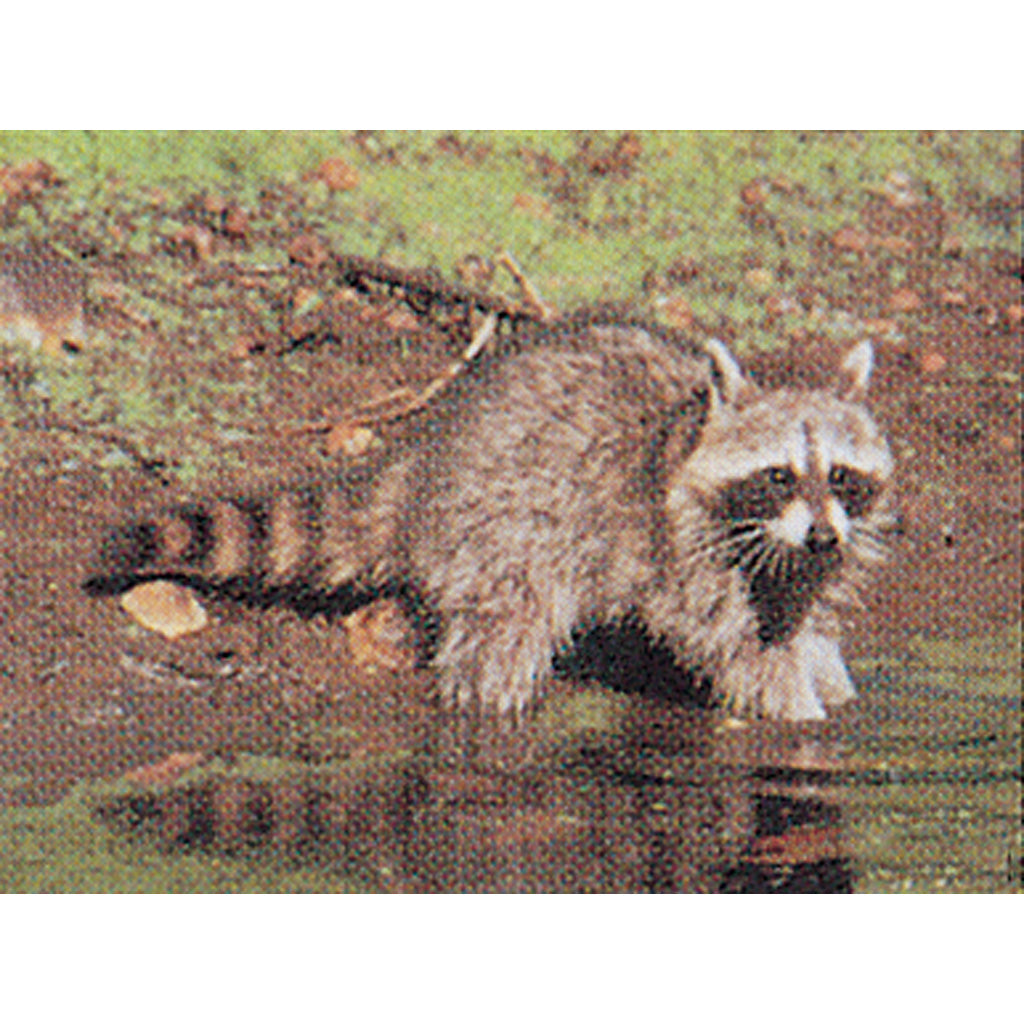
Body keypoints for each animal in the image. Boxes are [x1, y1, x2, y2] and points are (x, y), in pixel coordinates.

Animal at [92, 323, 894, 721]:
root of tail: (426, 455)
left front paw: (833, 687)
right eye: (780, 474)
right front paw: (800, 717)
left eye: (840, 476)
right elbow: (738, 646)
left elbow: (803, 624)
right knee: (504, 633)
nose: (823, 535)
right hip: (505, 527)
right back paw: (489, 704)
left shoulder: (815, 555)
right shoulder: (687, 548)